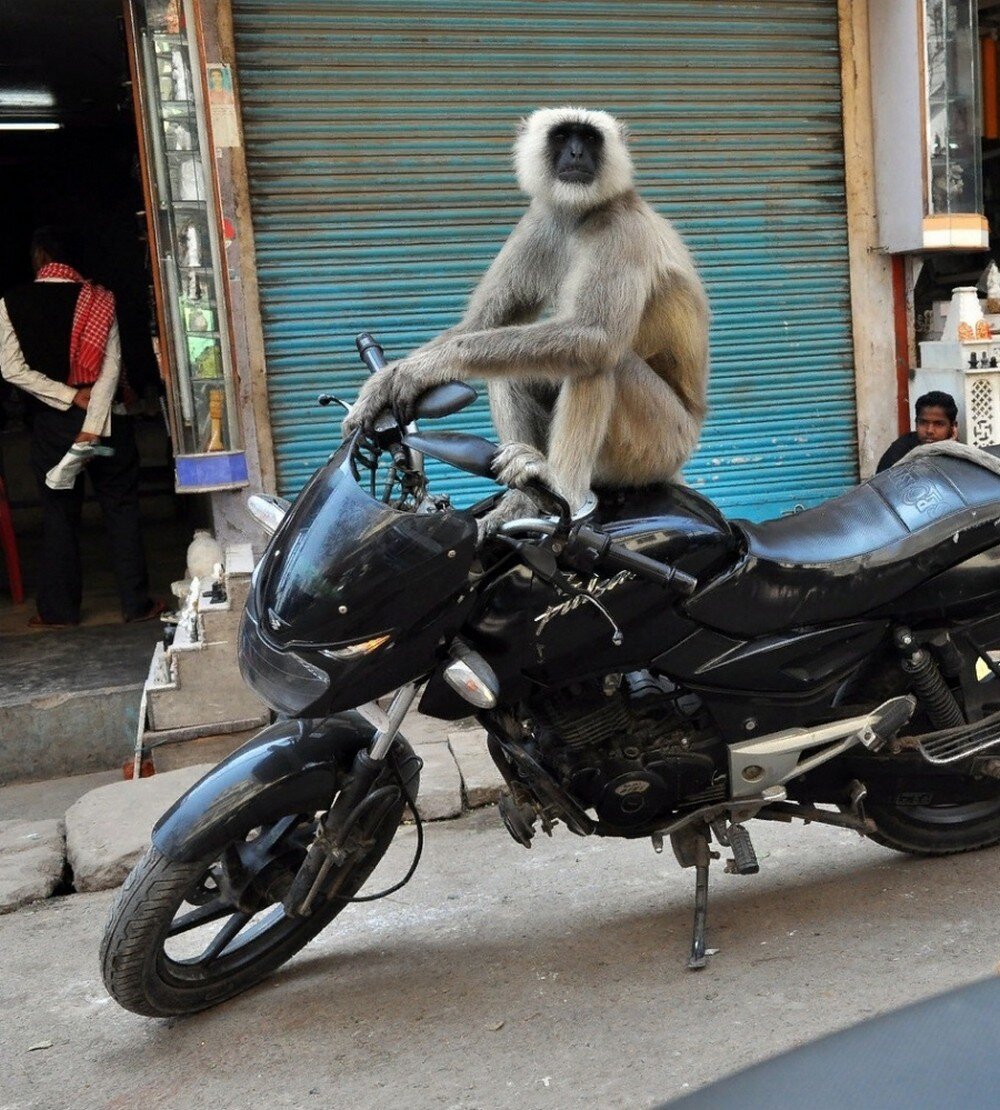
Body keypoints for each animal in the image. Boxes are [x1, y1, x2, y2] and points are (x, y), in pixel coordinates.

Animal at [346, 106, 705, 521]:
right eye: (563, 136)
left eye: (590, 138)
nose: (577, 154)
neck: (580, 216)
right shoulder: (538, 223)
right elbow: (483, 324)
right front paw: (386, 381)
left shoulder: (622, 228)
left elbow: (597, 336)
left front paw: (427, 365)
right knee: (512, 370)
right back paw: (525, 500)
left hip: (663, 442)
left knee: (600, 359)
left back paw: (561, 487)